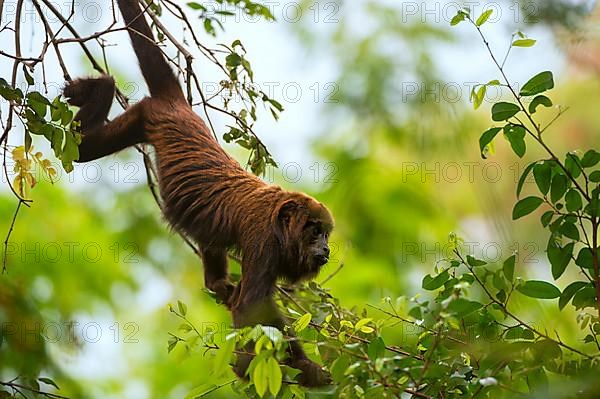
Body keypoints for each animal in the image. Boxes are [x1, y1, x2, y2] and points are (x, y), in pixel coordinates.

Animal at [65, 0, 336, 390]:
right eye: (314, 231)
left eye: (327, 234)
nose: (326, 249)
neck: (278, 218)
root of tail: (180, 107)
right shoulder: (265, 241)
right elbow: (251, 306)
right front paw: (268, 368)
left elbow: (257, 306)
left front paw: (298, 366)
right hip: (148, 115)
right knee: (82, 150)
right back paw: (102, 86)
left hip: (141, 118)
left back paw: (218, 283)